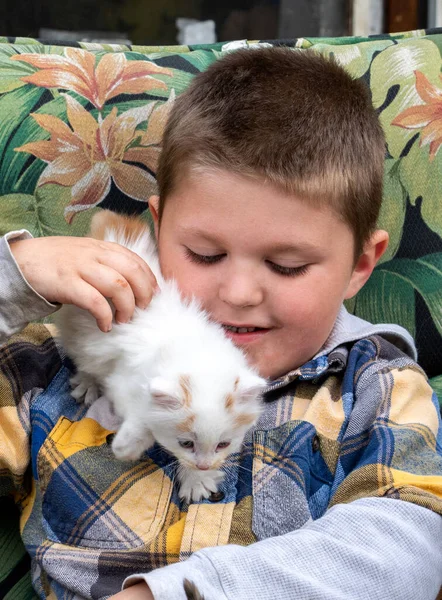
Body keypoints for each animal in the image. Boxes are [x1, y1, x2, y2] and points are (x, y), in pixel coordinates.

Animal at [53, 211, 264, 502]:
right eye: (186, 443)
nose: (204, 464)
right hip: (79, 327)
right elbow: (140, 414)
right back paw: (87, 385)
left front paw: (197, 480)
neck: (190, 347)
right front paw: (126, 447)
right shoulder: (124, 381)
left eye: (223, 444)